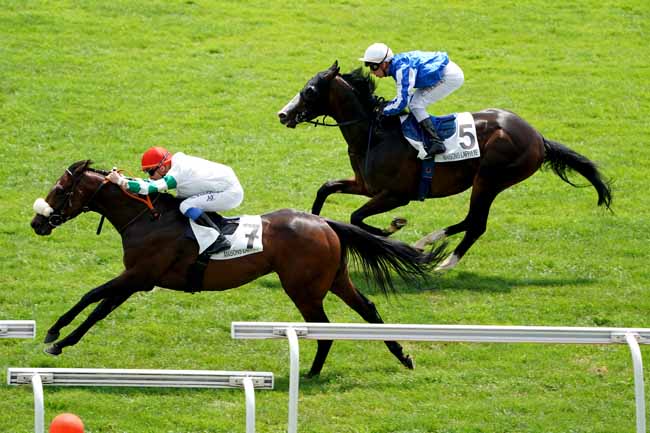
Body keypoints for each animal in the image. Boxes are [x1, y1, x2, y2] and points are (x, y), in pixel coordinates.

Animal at [30, 160, 447, 377]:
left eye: (60, 190)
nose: (37, 223)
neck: (145, 219)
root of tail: (324, 222)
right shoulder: (138, 280)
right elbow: (100, 309)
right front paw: (62, 341)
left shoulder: (138, 275)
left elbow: (91, 296)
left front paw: (53, 332)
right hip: (336, 279)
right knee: (369, 310)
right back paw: (403, 356)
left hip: (303, 289)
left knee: (324, 328)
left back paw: (311, 373)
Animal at [277, 62, 612, 270]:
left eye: (309, 90)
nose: (283, 114)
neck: (376, 133)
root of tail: (537, 136)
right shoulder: (364, 185)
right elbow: (326, 189)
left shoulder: (397, 195)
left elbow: (357, 217)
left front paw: (392, 228)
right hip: (488, 182)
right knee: (470, 221)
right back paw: (427, 244)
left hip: (490, 178)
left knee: (476, 224)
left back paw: (443, 262)